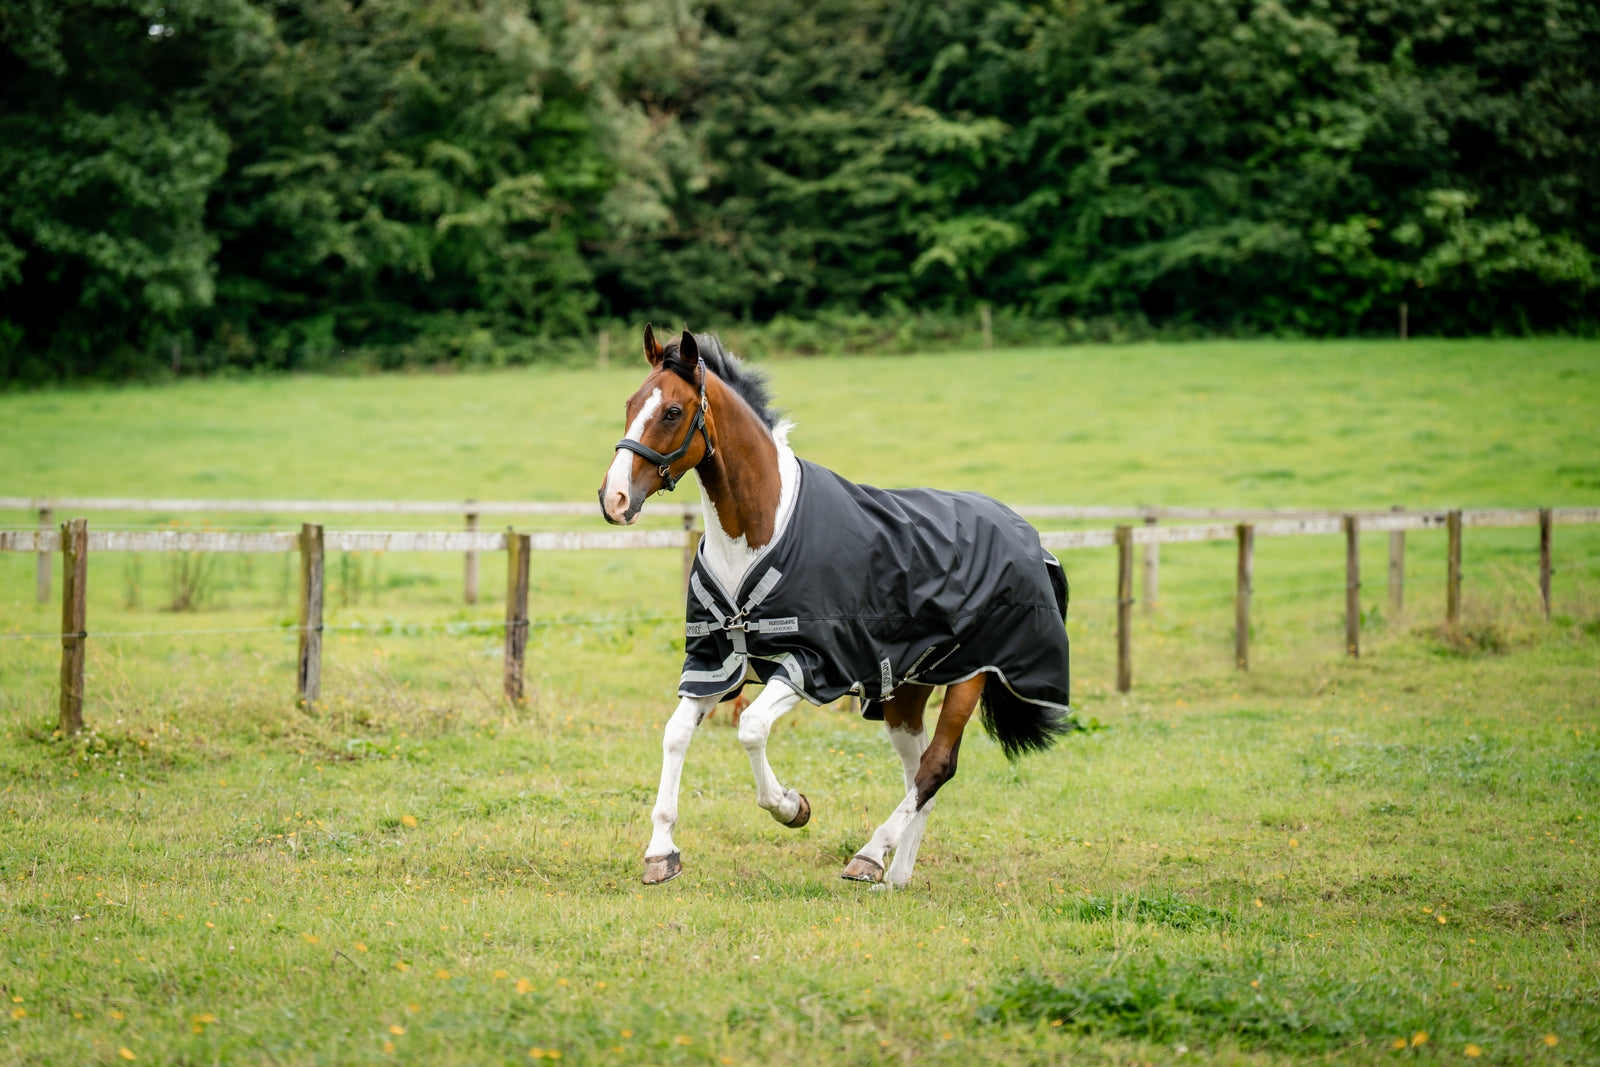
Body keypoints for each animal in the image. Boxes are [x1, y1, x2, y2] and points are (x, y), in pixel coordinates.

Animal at [599, 325, 1074, 888]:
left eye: (672, 411)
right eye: (630, 404)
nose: (614, 499)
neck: (755, 534)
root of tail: (1029, 536)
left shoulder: (811, 664)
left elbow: (751, 728)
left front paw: (792, 807)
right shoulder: (715, 663)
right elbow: (675, 735)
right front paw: (661, 853)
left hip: (972, 674)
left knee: (937, 766)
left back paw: (870, 856)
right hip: (905, 690)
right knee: (919, 775)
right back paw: (895, 877)